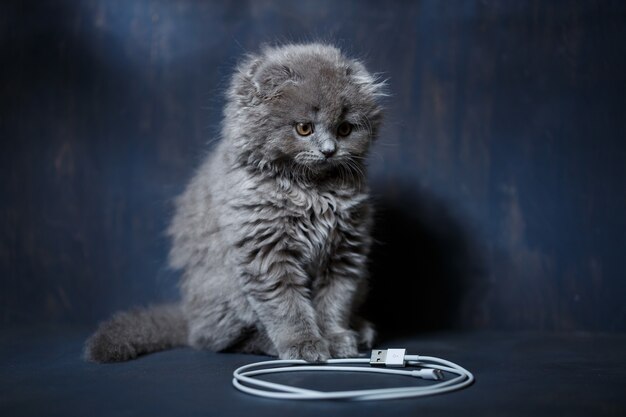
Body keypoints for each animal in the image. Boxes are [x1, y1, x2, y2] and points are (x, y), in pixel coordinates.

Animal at [84, 42, 382, 360]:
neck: (312, 191)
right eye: (304, 128)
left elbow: (334, 302)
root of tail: (188, 317)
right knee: (215, 340)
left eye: (344, 129)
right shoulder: (266, 251)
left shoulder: (345, 252)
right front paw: (305, 345)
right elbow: (287, 306)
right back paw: (269, 344)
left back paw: (360, 329)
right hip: (225, 291)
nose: (328, 150)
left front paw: (336, 338)